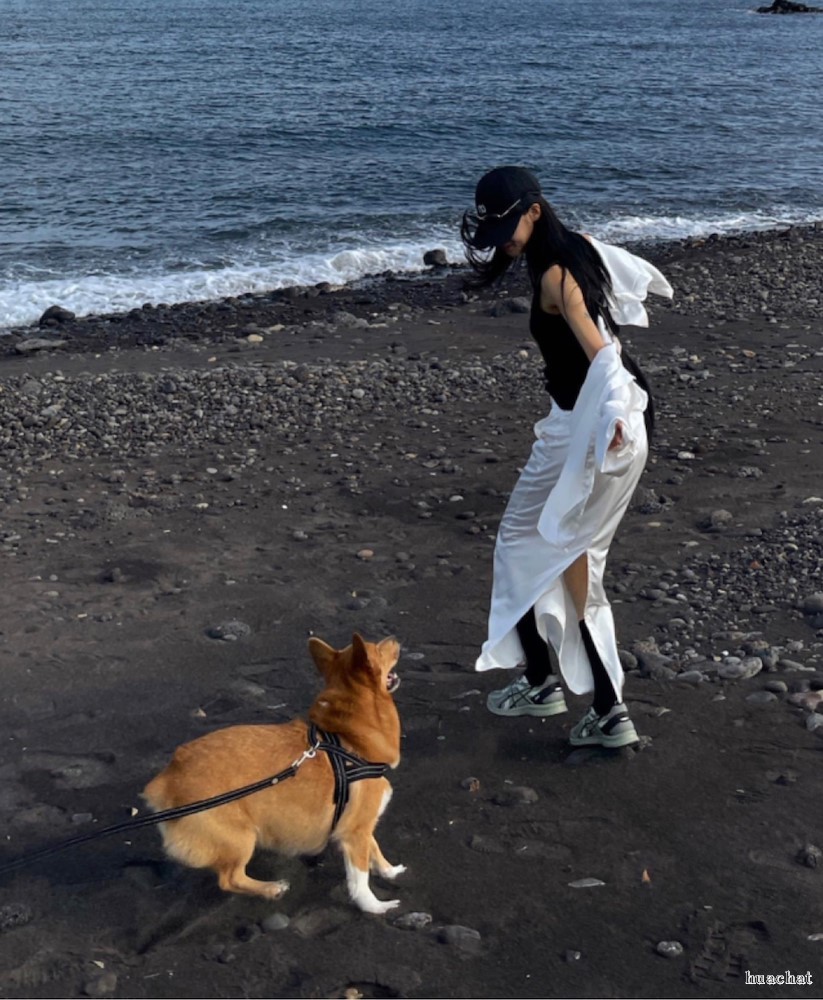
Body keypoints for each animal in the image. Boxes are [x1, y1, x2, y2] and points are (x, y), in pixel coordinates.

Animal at [142, 633, 405, 914]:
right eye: (378, 648)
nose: (394, 638)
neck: (347, 739)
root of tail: (167, 780)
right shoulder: (354, 833)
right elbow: (360, 879)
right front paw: (376, 906)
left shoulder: (363, 827)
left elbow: (374, 848)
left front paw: (389, 870)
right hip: (242, 839)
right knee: (229, 878)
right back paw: (271, 888)